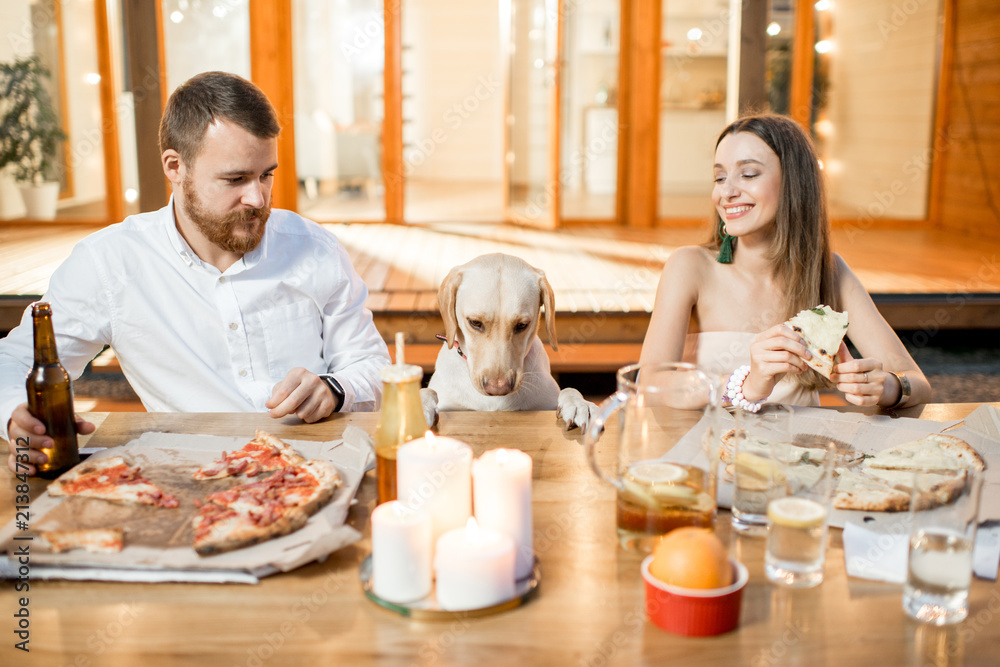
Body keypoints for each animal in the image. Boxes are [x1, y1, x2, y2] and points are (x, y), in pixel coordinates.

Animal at [420, 253, 596, 430]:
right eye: (475, 322)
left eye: (522, 325)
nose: (498, 388)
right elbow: (427, 391)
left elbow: (569, 389)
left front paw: (579, 403)